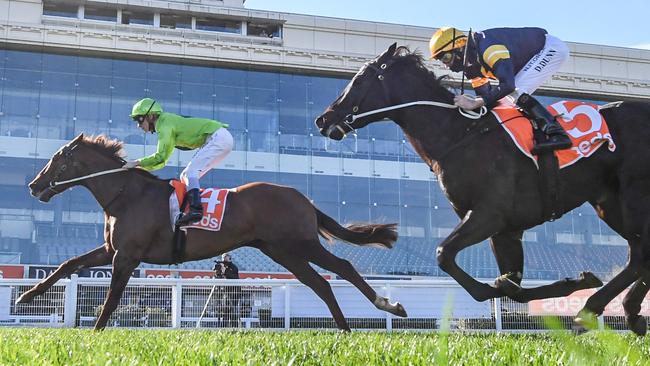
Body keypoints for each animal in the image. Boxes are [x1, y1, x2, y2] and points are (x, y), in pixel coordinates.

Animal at [19, 133, 404, 330]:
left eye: (59, 159)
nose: (34, 185)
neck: (126, 194)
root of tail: (302, 197)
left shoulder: (127, 256)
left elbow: (112, 298)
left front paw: (96, 333)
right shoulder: (112, 250)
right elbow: (67, 265)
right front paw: (27, 296)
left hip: (301, 243)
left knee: (344, 268)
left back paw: (389, 306)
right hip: (281, 251)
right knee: (321, 284)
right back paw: (345, 329)